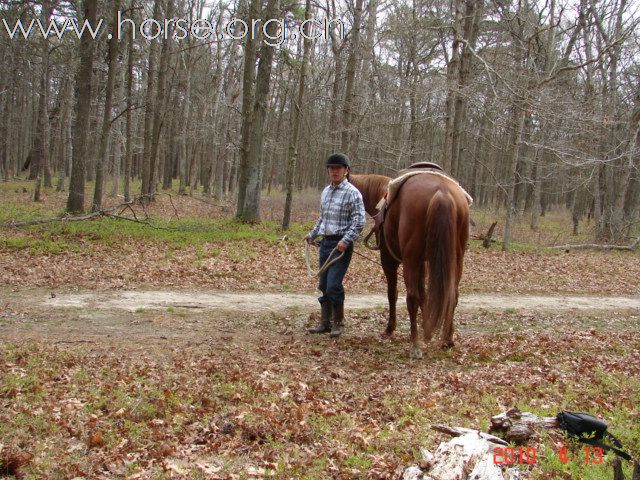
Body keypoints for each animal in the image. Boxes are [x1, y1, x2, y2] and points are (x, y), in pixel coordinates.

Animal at [350, 172, 470, 356]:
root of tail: (442, 192)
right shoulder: (422, 263)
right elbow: (424, 295)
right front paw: (427, 327)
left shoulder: (390, 260)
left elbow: (393, 294)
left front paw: (390, 328)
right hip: (455, 260)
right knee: (452, 295)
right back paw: (447, 339)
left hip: (410, 261)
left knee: (411, 297)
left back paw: (415, 345)